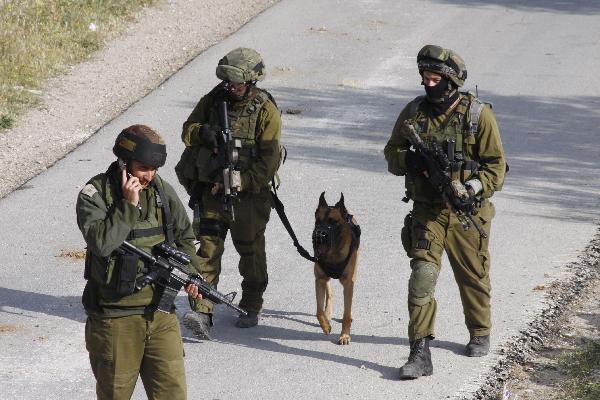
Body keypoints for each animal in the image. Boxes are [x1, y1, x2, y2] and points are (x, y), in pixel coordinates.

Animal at [314, 191, 360, 344]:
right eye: (317, 222)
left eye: (332, 222)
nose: (319, 235)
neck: (333, 255)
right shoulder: (319, 280)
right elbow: (318, 311)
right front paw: (325, 325)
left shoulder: (348, 284)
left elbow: (346, 314)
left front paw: (345, 335)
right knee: (329, 290)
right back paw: (327, 313)